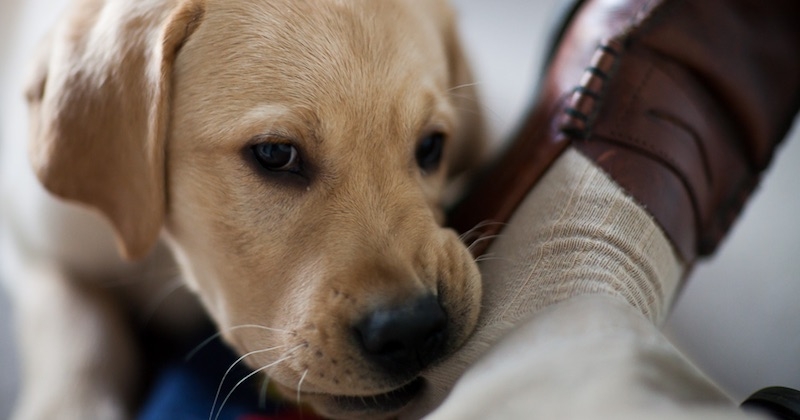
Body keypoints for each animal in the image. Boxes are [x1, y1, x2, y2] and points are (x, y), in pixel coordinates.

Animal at [3, 0, 484, 418]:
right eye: (274, 153)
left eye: (431, 146)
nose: (413, 329)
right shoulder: (34, 244)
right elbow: (74, 326)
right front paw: (71, 403)